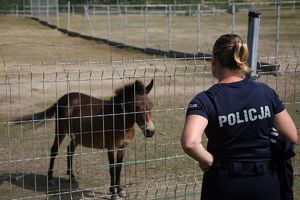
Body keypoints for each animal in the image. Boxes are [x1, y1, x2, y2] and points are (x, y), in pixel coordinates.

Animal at [16, 79, 156, 199]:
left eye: (151, 105)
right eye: (137, 107)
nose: (150, 131)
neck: (118, 118)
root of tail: (62, 99)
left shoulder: (122, 147)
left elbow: (119, 168)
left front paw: (120, 190)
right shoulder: (111, 147)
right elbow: (112, 169)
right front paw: (113, 193)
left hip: (76, 136)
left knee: (70, 150)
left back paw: (72, 176)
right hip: (61, 131)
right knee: (54, 150)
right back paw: (50, 178)